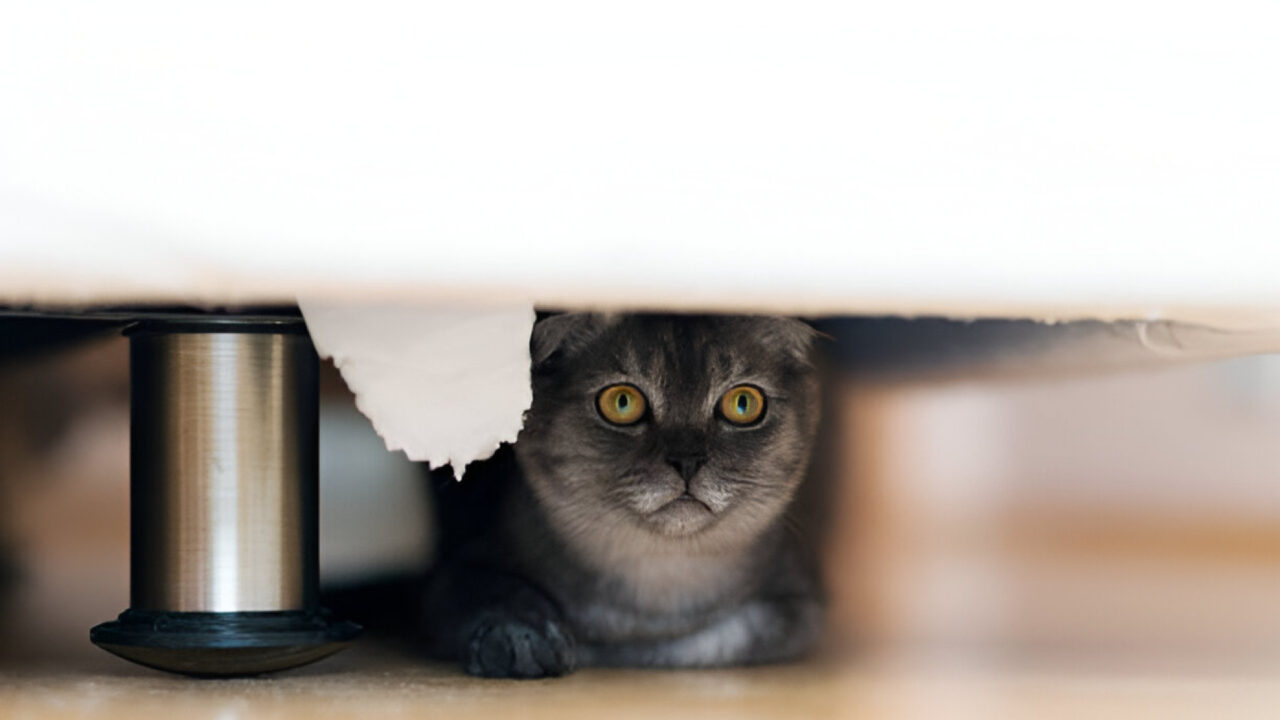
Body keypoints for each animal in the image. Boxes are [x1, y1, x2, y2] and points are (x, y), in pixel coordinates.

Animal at [422, 311, 829, 676]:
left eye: (743, 403)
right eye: (622, 402)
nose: (686, 461)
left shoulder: (797, 605)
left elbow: (729, 636)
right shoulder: (449, 573)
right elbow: (490, 588)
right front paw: (522, 636)